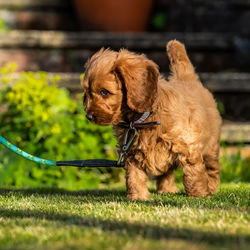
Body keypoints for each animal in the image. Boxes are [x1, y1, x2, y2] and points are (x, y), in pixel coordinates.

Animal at [82, 41, 223, 201]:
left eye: (104, 92)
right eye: (87, 93)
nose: (89, 116)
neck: (138, 121)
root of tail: (187, 79)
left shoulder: (187, 147)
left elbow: (194, 174)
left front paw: (199, 195)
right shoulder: (132, 153)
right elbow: (134, 176)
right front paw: (138, 197)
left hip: (211, 147)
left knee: (212, 168)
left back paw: (211, 187)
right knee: (167, 173)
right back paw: (167, 190)